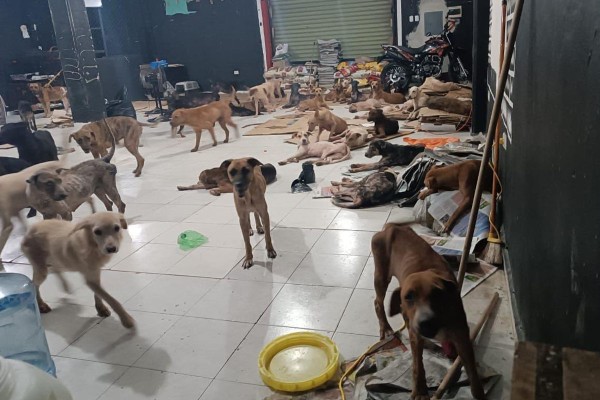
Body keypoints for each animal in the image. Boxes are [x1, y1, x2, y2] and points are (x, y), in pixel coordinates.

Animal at [371, 223, 485, 399]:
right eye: (409, 296)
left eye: (437, 293)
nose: (425, 323)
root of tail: (391, 227)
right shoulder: (416, 336)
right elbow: (418, 365)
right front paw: (419, 390)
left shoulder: (462, 336)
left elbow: (471, 367)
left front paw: (478, 391)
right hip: (381, 276)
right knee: (378, 303)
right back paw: (385, 326)